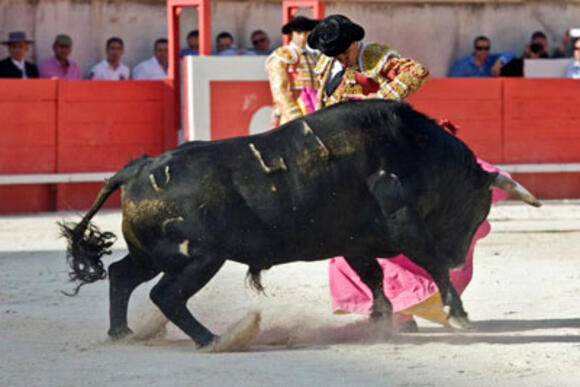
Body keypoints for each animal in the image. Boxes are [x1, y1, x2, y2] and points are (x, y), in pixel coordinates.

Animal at [59, 99, 540, 348]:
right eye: (481, 207)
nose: (462, 256)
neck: (417, 152)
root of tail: (139, 168)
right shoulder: (405, 223)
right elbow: (430, 263)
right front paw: (458, 316)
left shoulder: (356, 242)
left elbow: (374, 277)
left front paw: (380, 321)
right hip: (199, 258)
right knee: (166, 295)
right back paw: (214, 339)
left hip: (155, 255)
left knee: (122, 275)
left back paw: (122, 332)